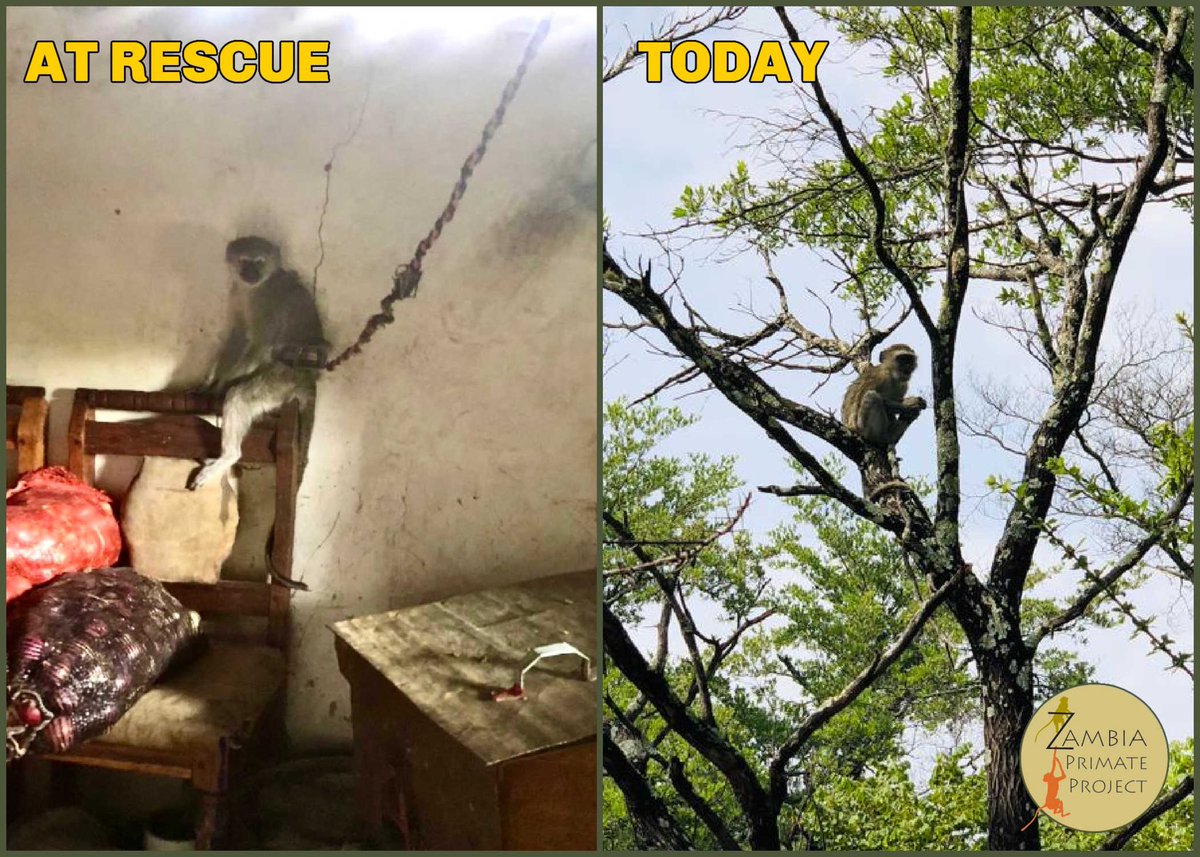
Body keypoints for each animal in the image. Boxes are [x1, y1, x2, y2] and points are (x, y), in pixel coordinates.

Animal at [188, 236, 326, 496]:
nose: (250, 274)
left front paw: (223, 384)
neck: (256, 288)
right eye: (245, 261)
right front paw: (210, 382)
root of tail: (306, 377)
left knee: (239, 396)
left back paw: (229, 456)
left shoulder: (267, 302)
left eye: (259, 262)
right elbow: (239, 336)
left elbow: (261, 345)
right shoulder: (237, 293)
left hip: (282, 379)